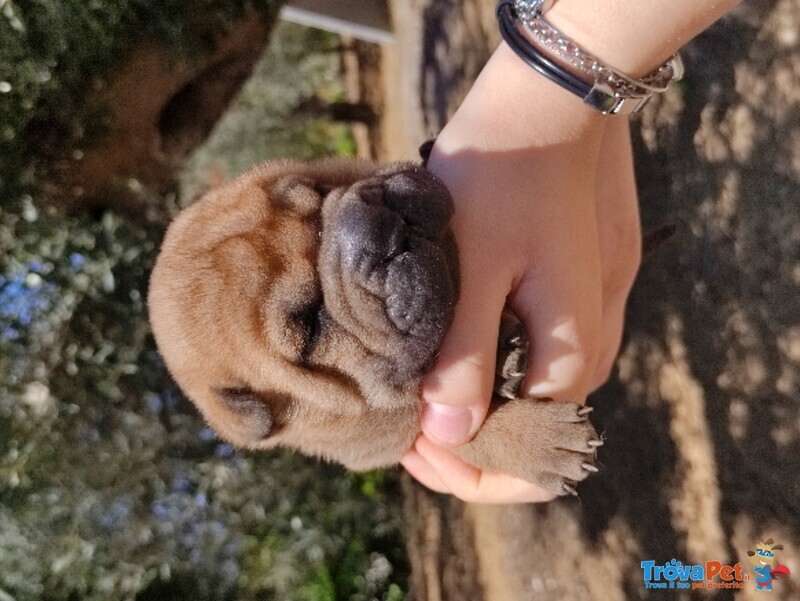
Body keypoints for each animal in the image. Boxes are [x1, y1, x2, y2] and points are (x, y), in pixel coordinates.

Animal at [148, 157, 600, 494]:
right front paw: (543, 441)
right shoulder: (383, 440)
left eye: (318, 190)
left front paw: (505, 350)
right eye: (310, 327)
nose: (372, 232)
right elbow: (456, 438)